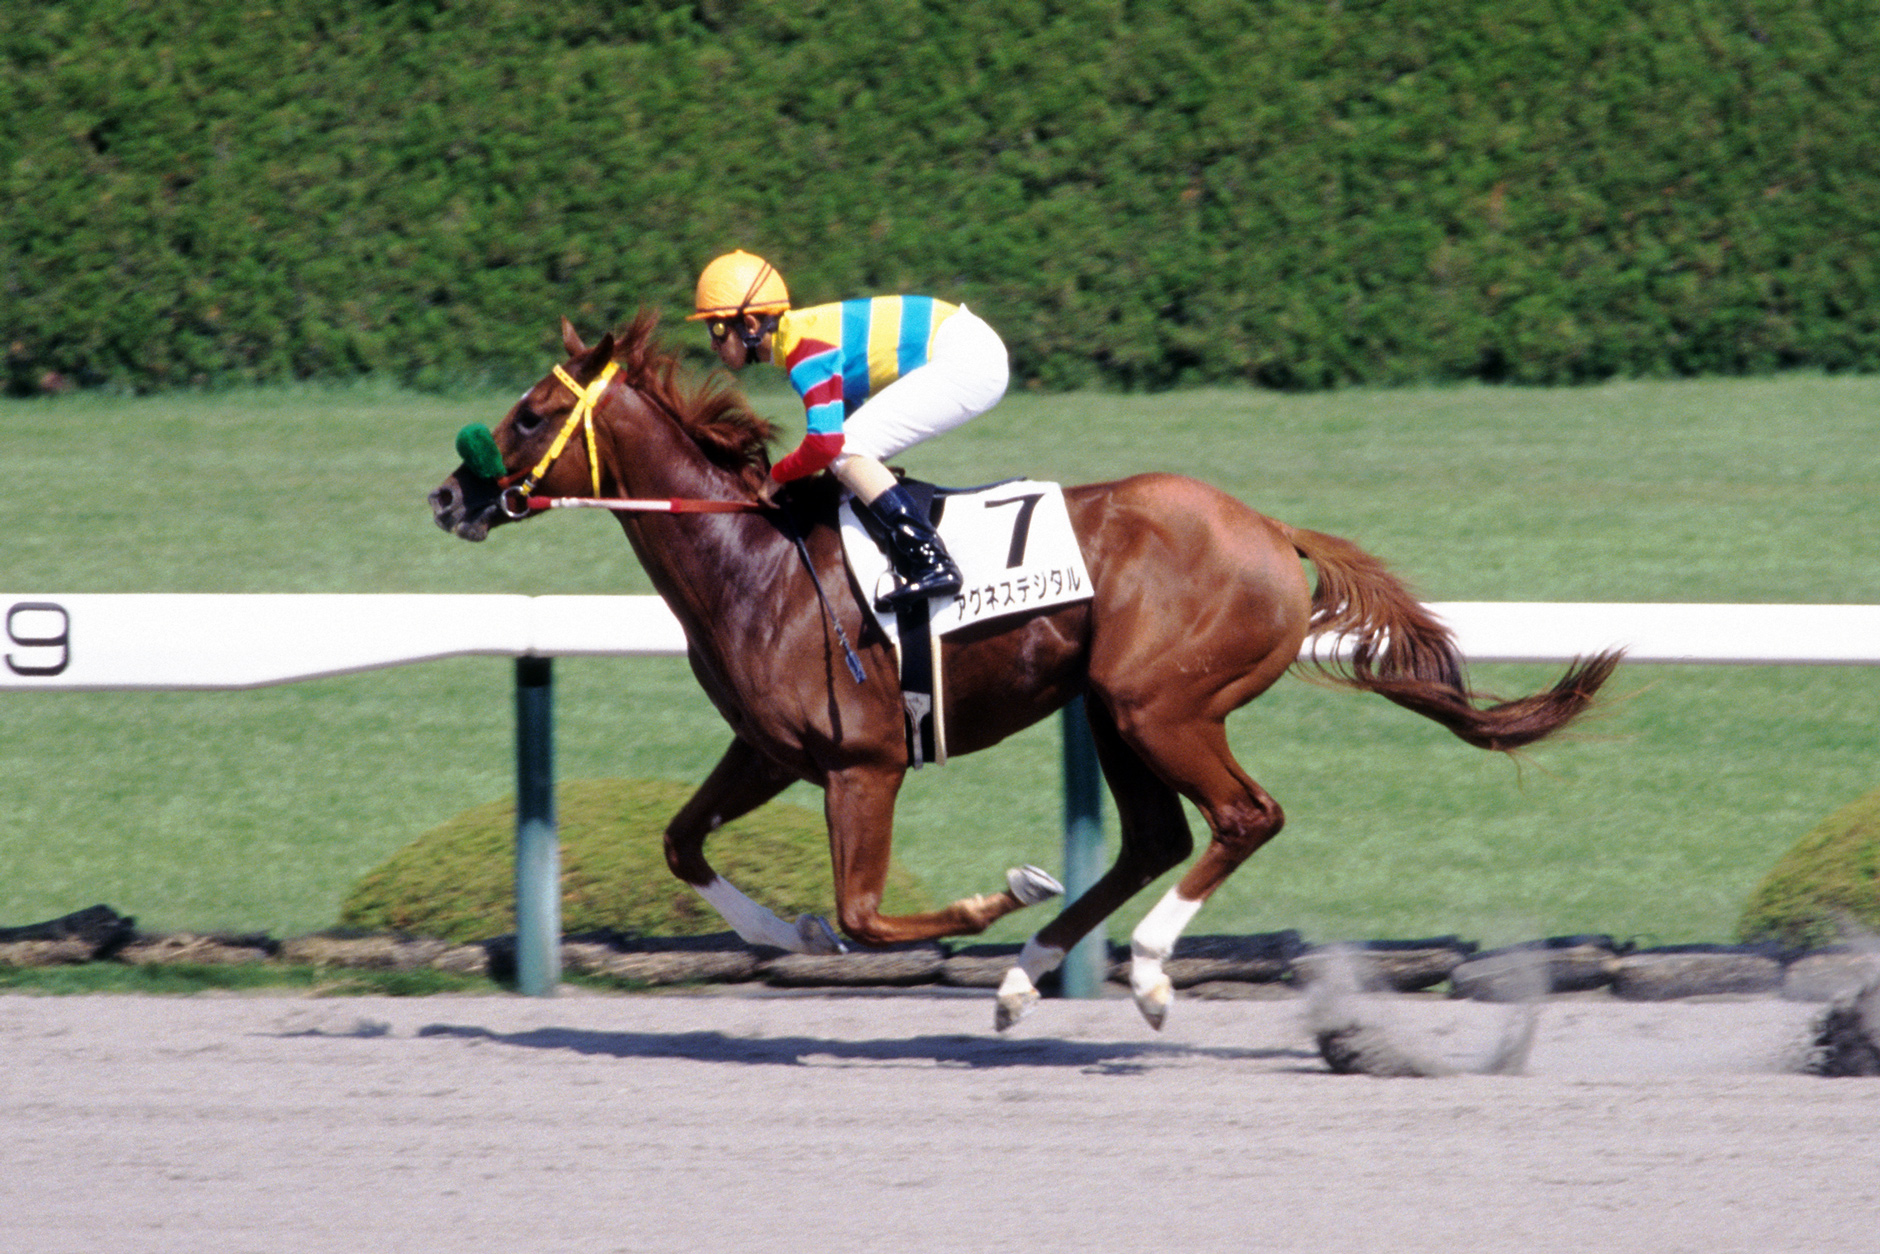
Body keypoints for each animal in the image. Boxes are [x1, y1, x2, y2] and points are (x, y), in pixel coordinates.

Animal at [429, 311, 1620, 1031]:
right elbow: (682, 845)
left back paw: (1143, 968)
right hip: (1109, 710)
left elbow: (866, 914)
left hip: (1159, 703)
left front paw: (990, 895)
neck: (754, 559)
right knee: (1156, 839)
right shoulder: (771, 750)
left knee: (1244, 818)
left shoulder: (865, 762)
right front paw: (780, 932)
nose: (447, 497)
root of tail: (1270, 531)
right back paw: (1024, 975)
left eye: (531, 414)